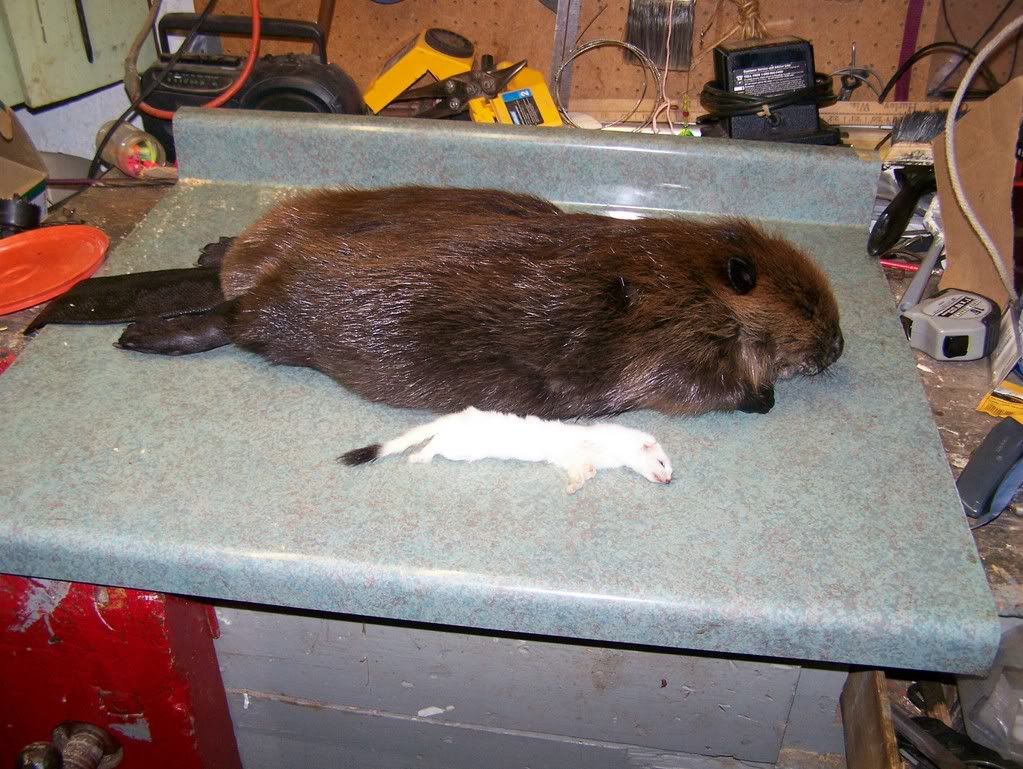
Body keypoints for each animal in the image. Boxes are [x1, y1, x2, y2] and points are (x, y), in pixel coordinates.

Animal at [107, 187, 843, 418]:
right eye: (808, 306)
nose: (837, 347)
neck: (685, 273)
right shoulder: (673, 335)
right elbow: (693, 385)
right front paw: (760, 393)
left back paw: (208, 255)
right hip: (289, 323)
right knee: (237, 324)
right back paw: (142, 333)